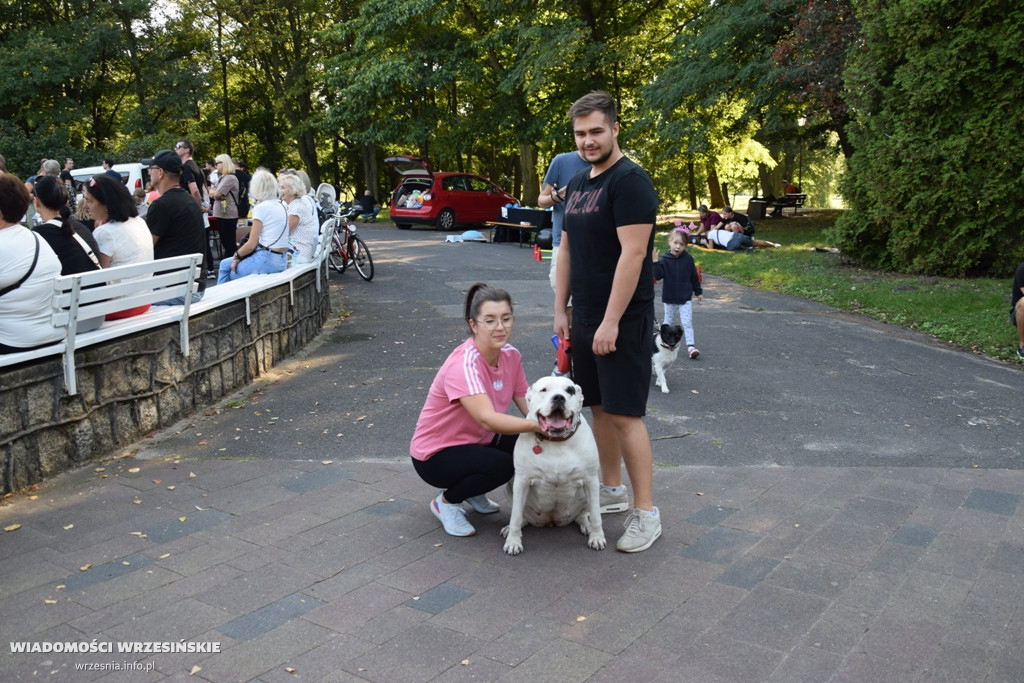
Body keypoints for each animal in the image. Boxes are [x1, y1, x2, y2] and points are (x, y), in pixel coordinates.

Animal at [499, 374, 602, 557]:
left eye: (570, 390)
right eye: (544, 390)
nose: (559, 398)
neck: (556, 441)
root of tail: (551, 520)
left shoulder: (591, 480)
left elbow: (596, 514)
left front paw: (597, 537)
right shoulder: (522, 481)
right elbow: (516, 516)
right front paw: (513, 541)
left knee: (583, 514)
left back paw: (587, 526)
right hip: (511, 488)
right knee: (521, 516)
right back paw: (509, 529)